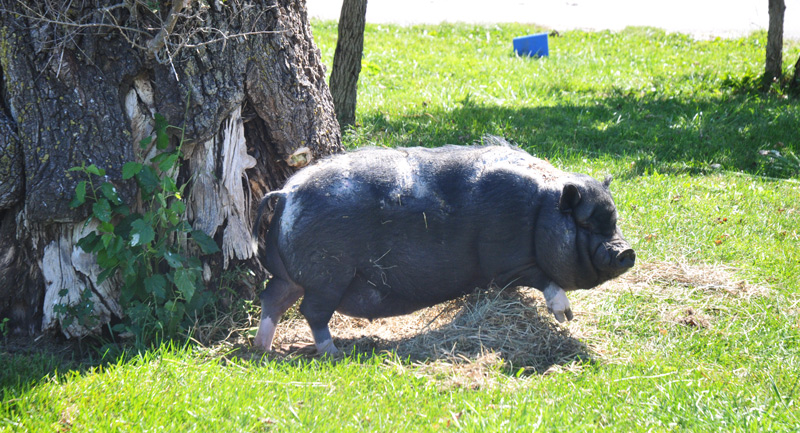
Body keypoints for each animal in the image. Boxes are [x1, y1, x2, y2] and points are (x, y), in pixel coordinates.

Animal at [251, 141, 635, 355]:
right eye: (587, 223)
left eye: (613, 219)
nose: (626, 252)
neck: (541, 209)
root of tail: (286, 193)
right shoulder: (507, 261)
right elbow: (543, 280)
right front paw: (565, 316)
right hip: (328, 276)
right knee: (311, 312)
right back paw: (334, 353)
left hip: (292, 275)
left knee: (273, 299)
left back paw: (263, 350)